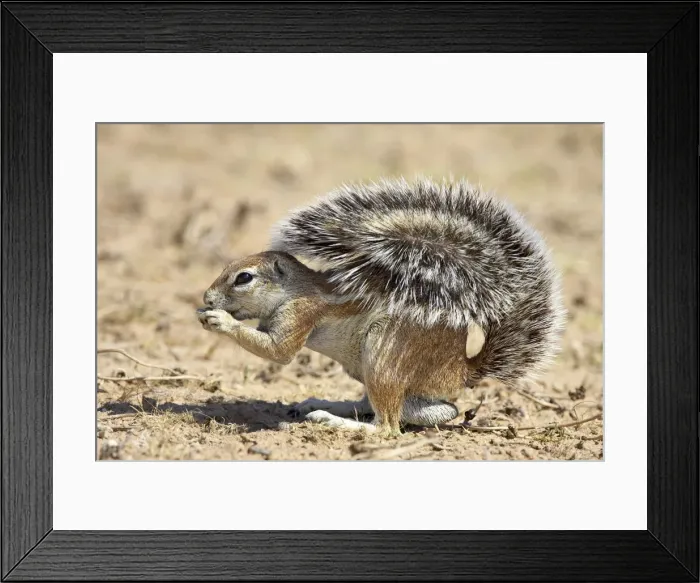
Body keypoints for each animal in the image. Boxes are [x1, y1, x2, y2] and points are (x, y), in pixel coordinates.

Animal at [197, 177, 566, 437]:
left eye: (244, 277)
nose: (207, 299)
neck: (294, 289)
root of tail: (460, 370)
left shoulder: (302, 312)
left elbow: (279, 352)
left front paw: (221, 320)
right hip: (367, 366)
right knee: (418, 410)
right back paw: (328, 404)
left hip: (385, 352)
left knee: (388, 426)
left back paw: (336, 422)